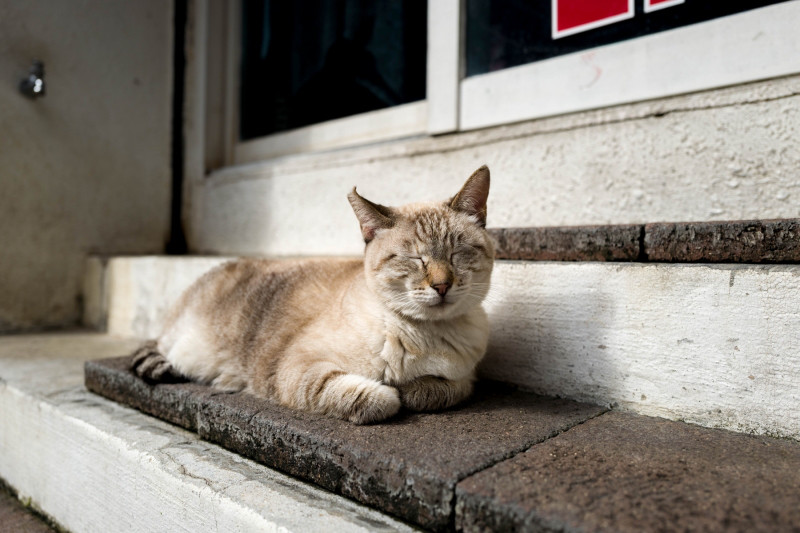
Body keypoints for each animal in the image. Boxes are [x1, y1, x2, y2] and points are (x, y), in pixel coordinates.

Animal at [131, 164, 494, 422]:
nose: (442, 285)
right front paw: (390, 392)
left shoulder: (466, 379)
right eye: (415, 259)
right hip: (185, 343)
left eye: (457, 254)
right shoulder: (297, 368)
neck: (424, 336)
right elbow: (371, 397)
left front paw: (411, 389)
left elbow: (435, 391)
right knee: (159, 348)